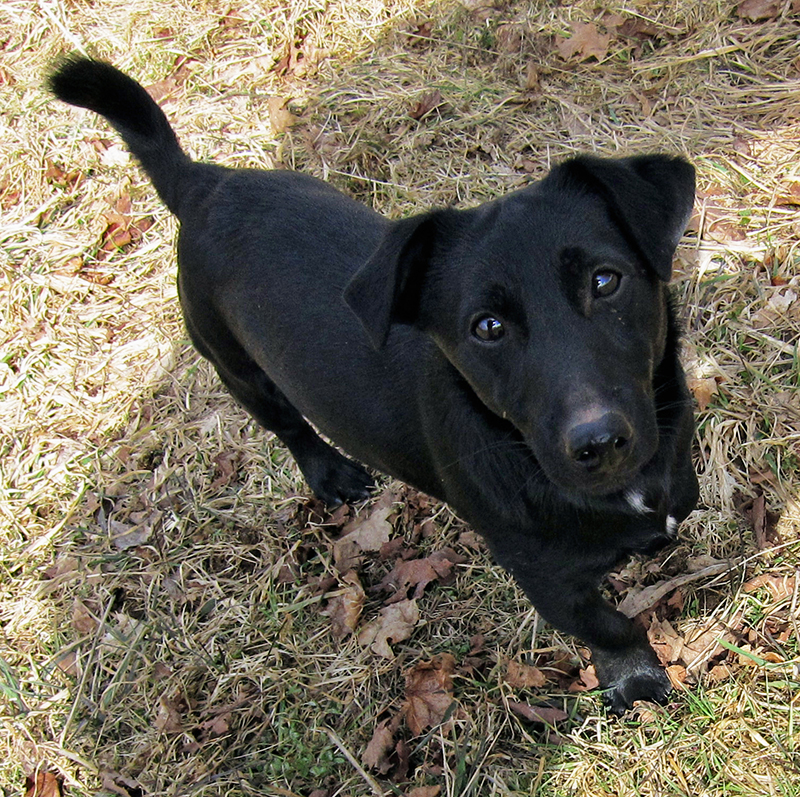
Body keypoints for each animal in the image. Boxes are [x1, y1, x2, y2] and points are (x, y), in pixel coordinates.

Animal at [50, 59, 700, 712]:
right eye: (487, 327)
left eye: (605, 280)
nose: (597, 443)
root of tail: (204, 184)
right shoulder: (550, 581)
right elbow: (611, 626)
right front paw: (635, 679)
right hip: (237, 367)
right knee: (290, 427)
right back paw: (332, 473)